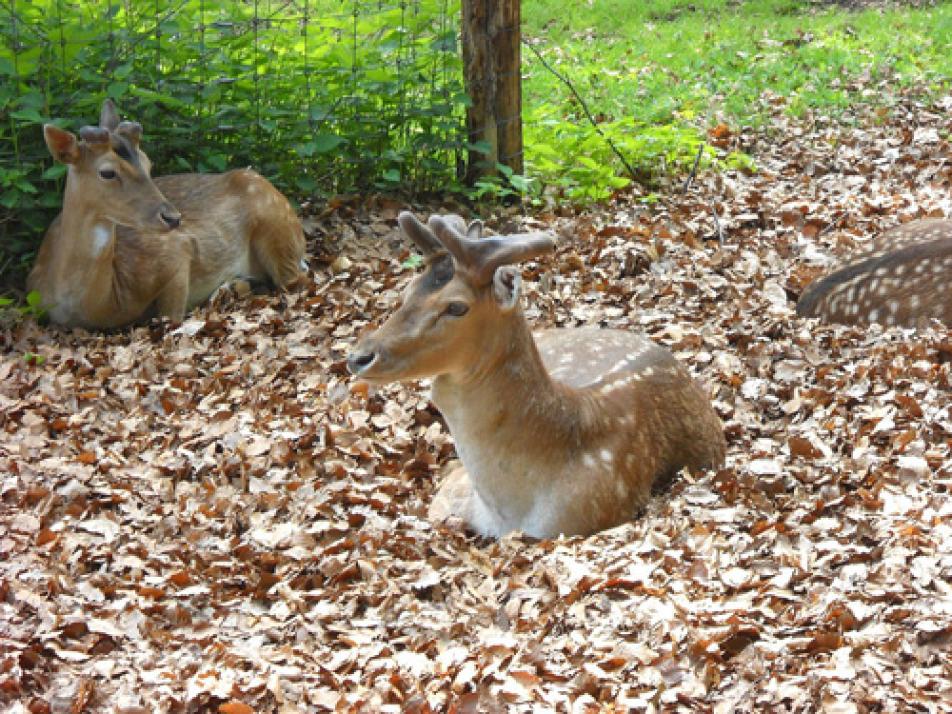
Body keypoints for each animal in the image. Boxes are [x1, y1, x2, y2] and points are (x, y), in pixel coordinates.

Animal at [27, 99, 304, 328]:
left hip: (277, 228)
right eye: (107, 172)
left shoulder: (175, 251)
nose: (173, 218)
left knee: (296, 279)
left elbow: (171, 316)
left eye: (147, 163)